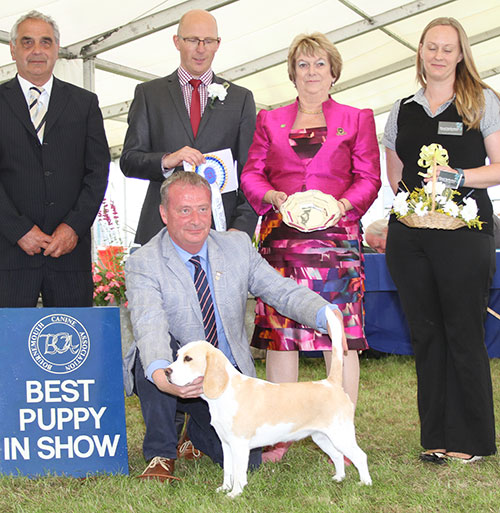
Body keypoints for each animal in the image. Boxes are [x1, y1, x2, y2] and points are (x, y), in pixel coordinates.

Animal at [166, 306, 370, 498]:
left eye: (188, 359)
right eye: (177, 355)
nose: (166, 372)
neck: (224, 393)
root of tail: (331, 382)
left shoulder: (239, 445)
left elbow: (238, 473)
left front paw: (234, 494)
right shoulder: (226, 444)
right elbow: (228, 471)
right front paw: (224, 489)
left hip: (341, 435)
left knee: (360, 456)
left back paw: (365, 483)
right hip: (322, 437)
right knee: (337, 455)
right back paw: (339, 478)